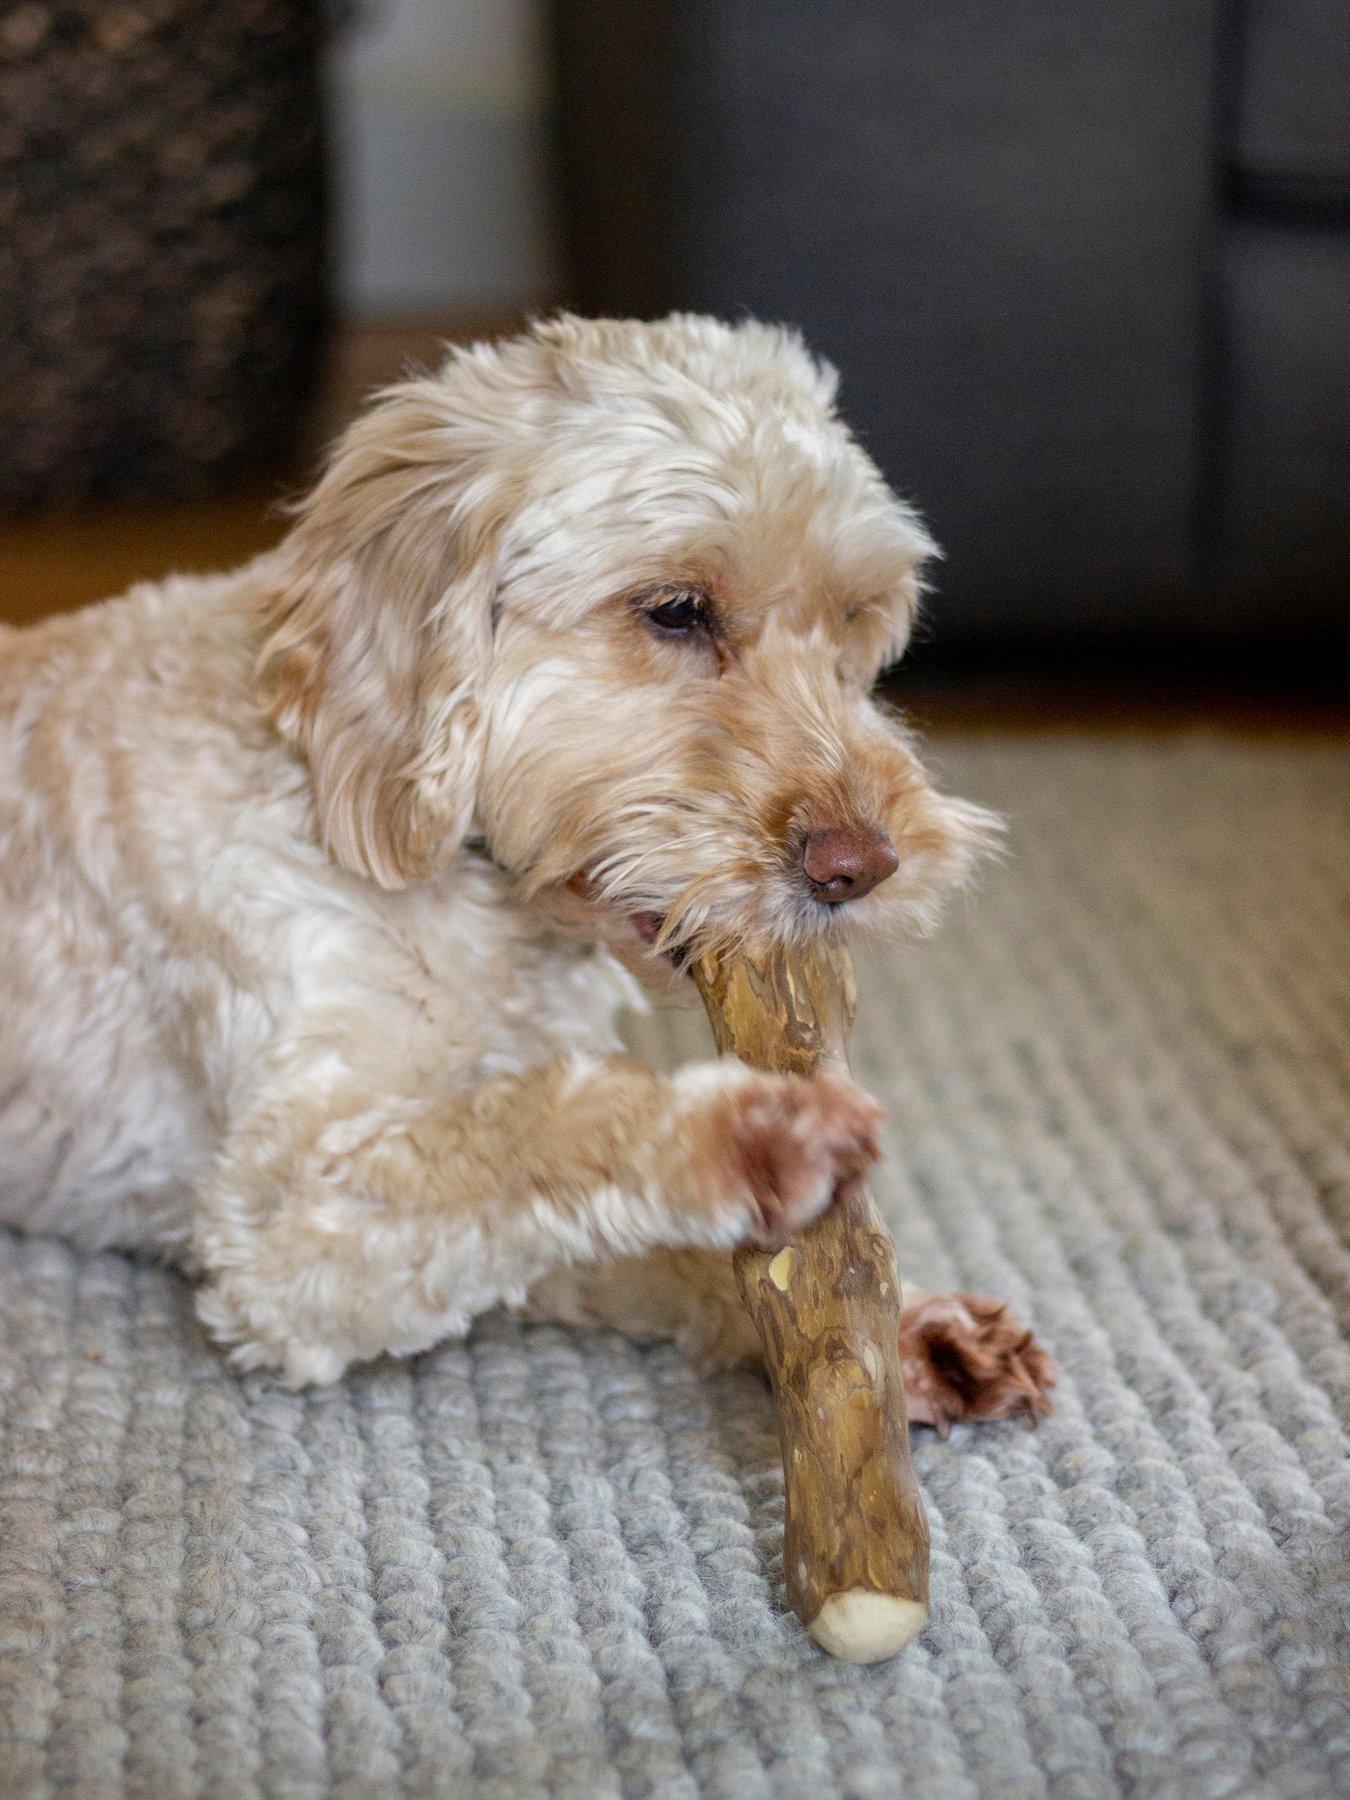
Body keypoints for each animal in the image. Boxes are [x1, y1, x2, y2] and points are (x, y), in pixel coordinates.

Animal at [0, 316, 1051, 1425]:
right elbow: (518, 1135)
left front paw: (901, 1326)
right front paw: (738, 1133)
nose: (864, 867)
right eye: (676, 610)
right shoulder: (278, 1227)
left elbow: (634, 1235)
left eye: (852, 621)